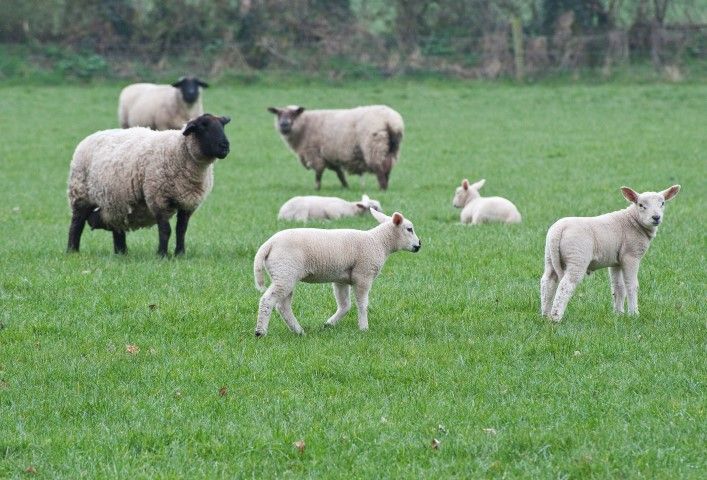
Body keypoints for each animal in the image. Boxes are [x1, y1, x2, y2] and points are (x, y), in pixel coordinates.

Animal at [67, 113, 231, 257]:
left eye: (222, 126)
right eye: (203, 127)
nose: (225, 146)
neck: (179, 152)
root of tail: (91, 136)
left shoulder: (188, 203)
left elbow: (181, 230)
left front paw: (180, 254)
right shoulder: (158, 198)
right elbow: (166, 230)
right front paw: (162, 255)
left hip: (117, 201)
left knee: (116, 226)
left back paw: (121, 253)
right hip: (80, 193)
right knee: (77, 223)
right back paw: (72, 251)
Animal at [253, 208, 421, 336]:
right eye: (409, 229)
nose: (419, 245)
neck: (378, 242)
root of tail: (268, 245)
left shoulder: (341, 279)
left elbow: (345, 305)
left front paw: (329, 324)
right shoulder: (363, 275)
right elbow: (362, 304)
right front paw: (364, 328)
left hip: (285, 274)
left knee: (283, 306)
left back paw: (299, 331)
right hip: (285, 272)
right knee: (268, 300)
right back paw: (260, 332)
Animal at [267, 105, 404, 190]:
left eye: (293, 114)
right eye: (278, 114)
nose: (284, 124)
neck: (304, 126)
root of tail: (390, 121)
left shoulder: (315, 153)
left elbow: (318, 173)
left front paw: (317, 189)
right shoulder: (330, 156)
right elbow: (339, 174)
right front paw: (346, 187)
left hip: (373, 146)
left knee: (379, 169)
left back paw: (382, 188)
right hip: (391, 149)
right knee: (387, 168)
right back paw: (385, 186)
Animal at [540, 185, 681, 322]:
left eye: (662, 203)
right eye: (641, 205)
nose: (656, 217)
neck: (633, 221)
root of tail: (558, 230)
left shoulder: (616, 261)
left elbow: (618, 287)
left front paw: (618, 314)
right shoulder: (631, 256)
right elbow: (631, 285)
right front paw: (634, 314)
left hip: (549, 256)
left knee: (548, 281)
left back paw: (545, 315)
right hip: (577, 256)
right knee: (566, 284)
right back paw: (556, 318)